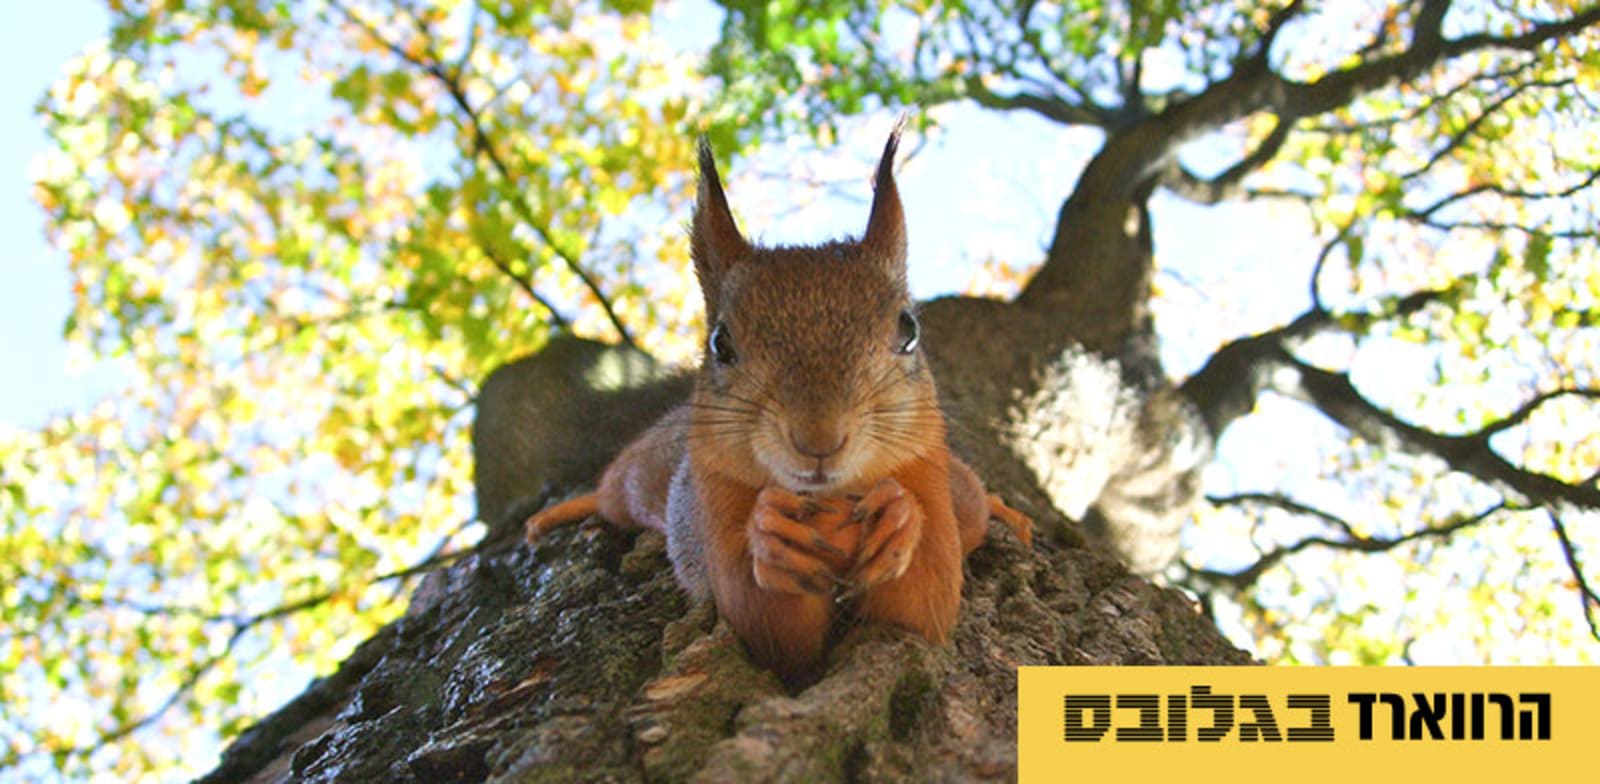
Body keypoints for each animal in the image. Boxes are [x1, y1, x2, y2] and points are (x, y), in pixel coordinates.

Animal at [524, 128, 1024, 678]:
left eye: (908, 330)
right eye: (720, 343)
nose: (818, 439)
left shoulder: (927, 477)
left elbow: (922, 606)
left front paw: (899, 518)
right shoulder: (715, 504)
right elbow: (769, 628)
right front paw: (771, 536)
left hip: (961, 495)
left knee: (975, 502)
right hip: (639, 477)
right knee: (611, 493)